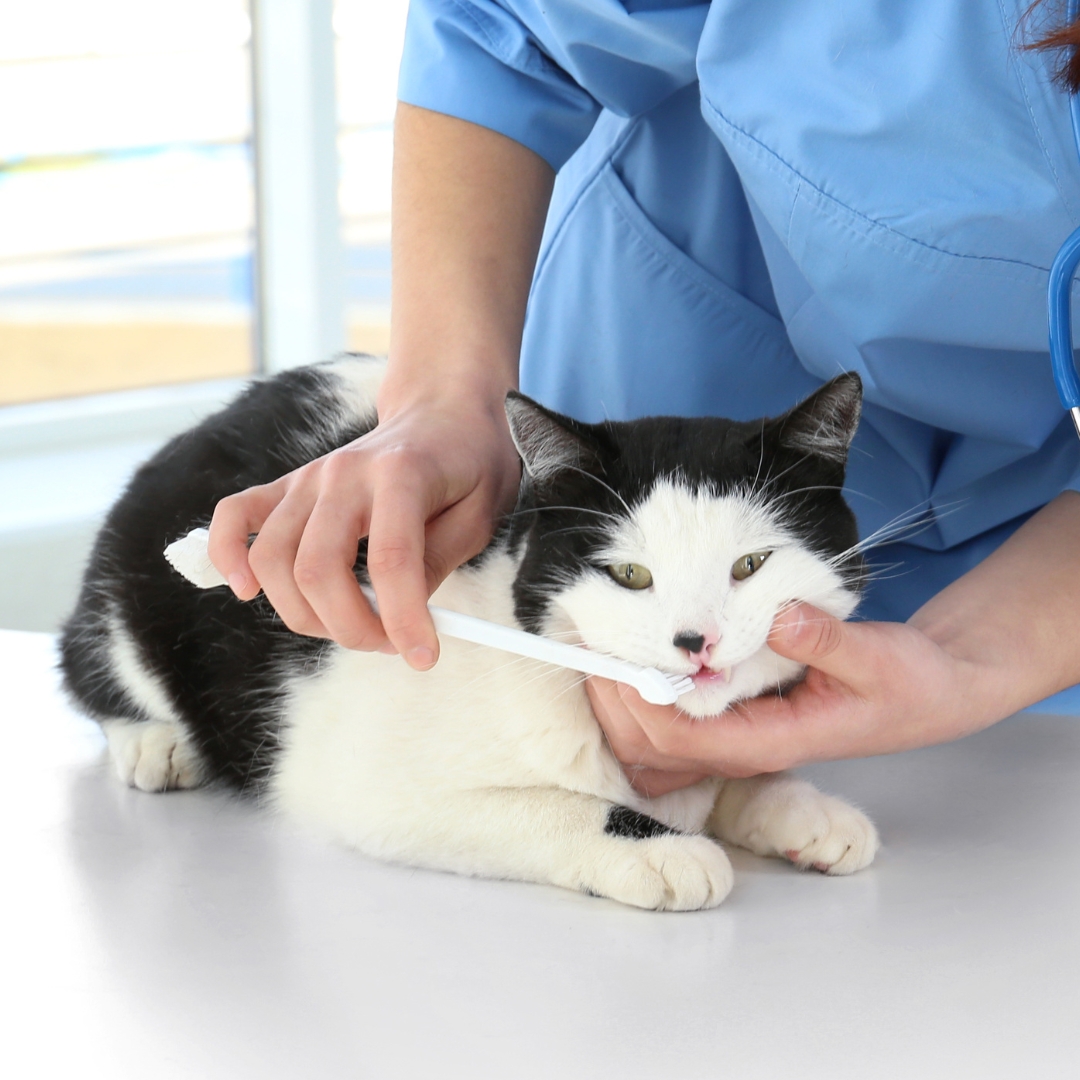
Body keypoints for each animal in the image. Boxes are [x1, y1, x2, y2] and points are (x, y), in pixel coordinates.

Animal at [59, 356, 876, 911]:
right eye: (631, 575)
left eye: (751, 565)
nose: (694, 642)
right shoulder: (360, 783)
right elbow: (545, 805)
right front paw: (665, 850)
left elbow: (731, 778)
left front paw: (798, 808)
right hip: (132, 593)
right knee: (86, 665)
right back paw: (154, 743)